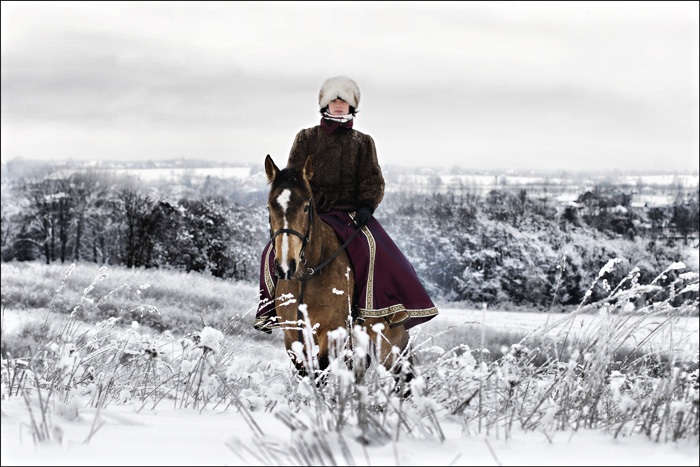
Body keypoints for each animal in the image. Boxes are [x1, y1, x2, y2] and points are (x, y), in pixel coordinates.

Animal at [266, 155, 412, 386]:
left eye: (306, 206)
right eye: (270, 207)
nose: (286, 266)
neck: (306, 277)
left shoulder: (332, 333)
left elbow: (320, 372)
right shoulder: (292, 335)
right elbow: (306, 373)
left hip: (390, 341)